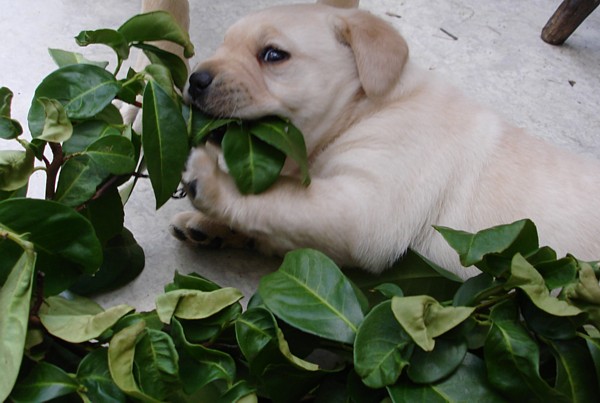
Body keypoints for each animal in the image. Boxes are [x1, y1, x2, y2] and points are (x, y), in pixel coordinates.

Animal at [145, 0, 600, 278]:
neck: (366, 108)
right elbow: (278, 217)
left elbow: (280, 200)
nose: (195, 81)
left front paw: (211, 184)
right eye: (223, 45)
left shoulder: (366, 210)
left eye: (273, 55)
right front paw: (210, 226)